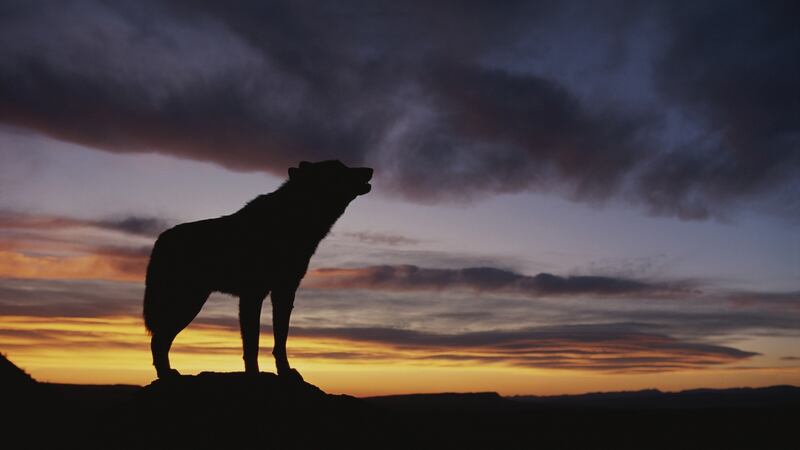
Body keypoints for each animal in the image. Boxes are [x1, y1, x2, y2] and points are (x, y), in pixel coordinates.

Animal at [143, 160, 373, 379]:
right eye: (339, 168)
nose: (370, 170)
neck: (292, 219)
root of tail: (160, 240)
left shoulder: (284, 292)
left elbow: (280, 339)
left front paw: (284, 371)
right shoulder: (253, 294)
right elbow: (252, 344)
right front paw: (253, 374)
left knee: (160, 339)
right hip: (188, 303)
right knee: (158, 339)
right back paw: (166, 375)